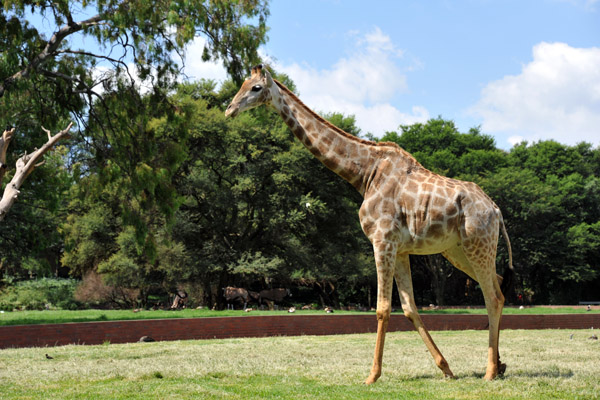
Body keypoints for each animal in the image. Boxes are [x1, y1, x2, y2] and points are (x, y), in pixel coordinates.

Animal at [225, 65, 516, 384]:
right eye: (242, 84)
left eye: (255, 88)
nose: (229, 109)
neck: (365, 173)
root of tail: (496, 210)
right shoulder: (401, 249)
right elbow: (410, 308)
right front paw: (446, 368)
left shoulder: (382, 240)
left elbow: (382, 309)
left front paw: (372, 375)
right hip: (459, 250)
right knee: (499, 288)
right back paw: (500, 364)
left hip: (478, 243)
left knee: (492, 296)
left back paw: (490, 371)